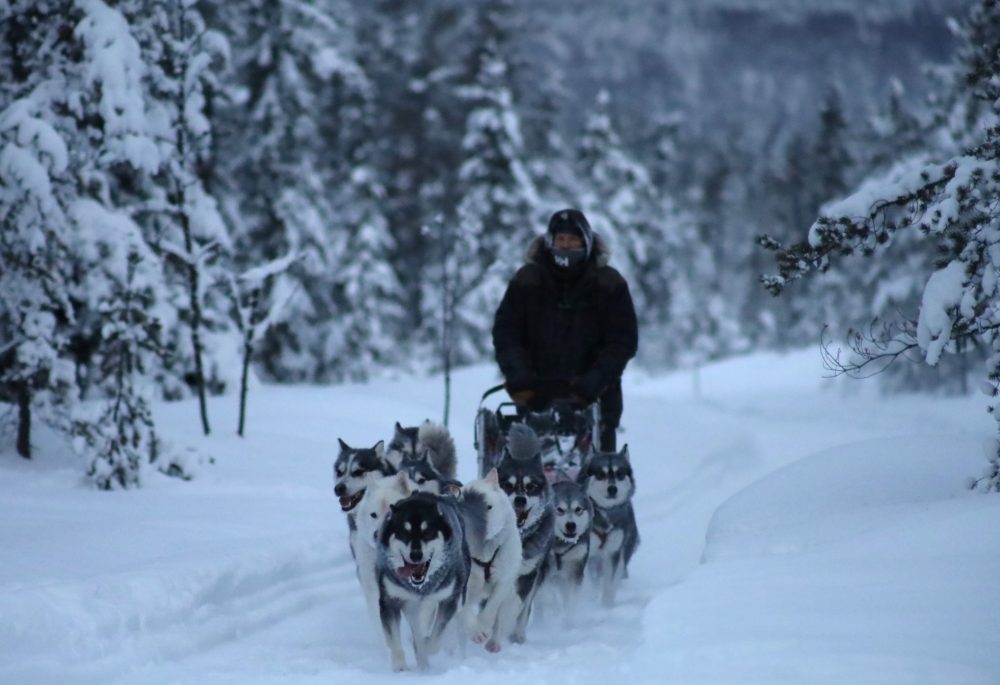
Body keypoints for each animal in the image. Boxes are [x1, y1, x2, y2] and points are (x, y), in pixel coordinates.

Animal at [460, 464, 524, 652]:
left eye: (488, 507)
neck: (484, 553)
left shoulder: (503, 581)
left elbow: (491, 609)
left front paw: (483, 627)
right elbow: (465, 611)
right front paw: (476, 631)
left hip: (511, 599)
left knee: (500, 620)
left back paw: (493, 642)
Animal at [494, 422, 556, 640]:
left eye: (531, 486)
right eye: (507, 485)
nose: (520, 499)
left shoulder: (528, 574)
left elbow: (517, 606)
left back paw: (517, 635)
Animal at [580, 446, 640, 608]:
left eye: (619, 474)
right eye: (601, 474)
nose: (612, 489)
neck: (604, 513)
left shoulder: (613, 552)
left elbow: (608, 582)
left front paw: (607, 605)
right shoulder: (585, 552)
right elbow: (587, 580)